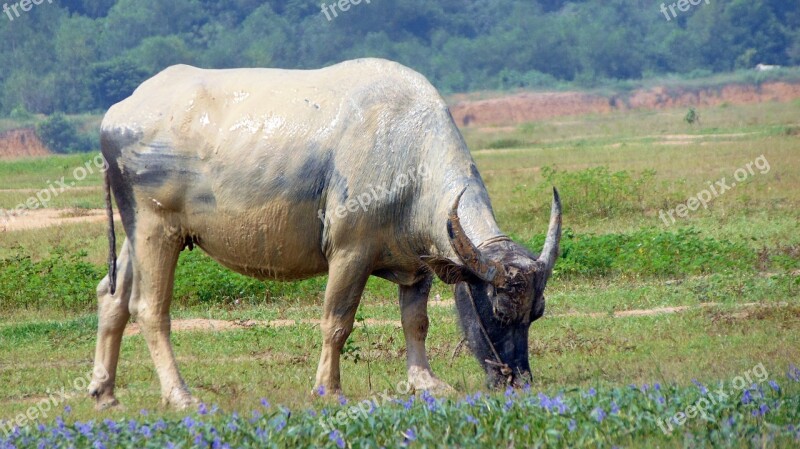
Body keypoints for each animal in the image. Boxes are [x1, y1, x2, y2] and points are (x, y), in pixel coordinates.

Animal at [90, 57, 560, 408]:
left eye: (535, 312)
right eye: (498, 310)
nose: (518, 381)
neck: (409, 156)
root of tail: (117, 114)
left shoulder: (418, 263)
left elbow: (416, 322)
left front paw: (425, 382)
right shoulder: (350, 253)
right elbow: (337, 322)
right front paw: (328, 389)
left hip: (135, 232)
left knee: (112, 297)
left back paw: (104, 392)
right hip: (157, 229)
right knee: (150, 308)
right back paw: (180, 395)